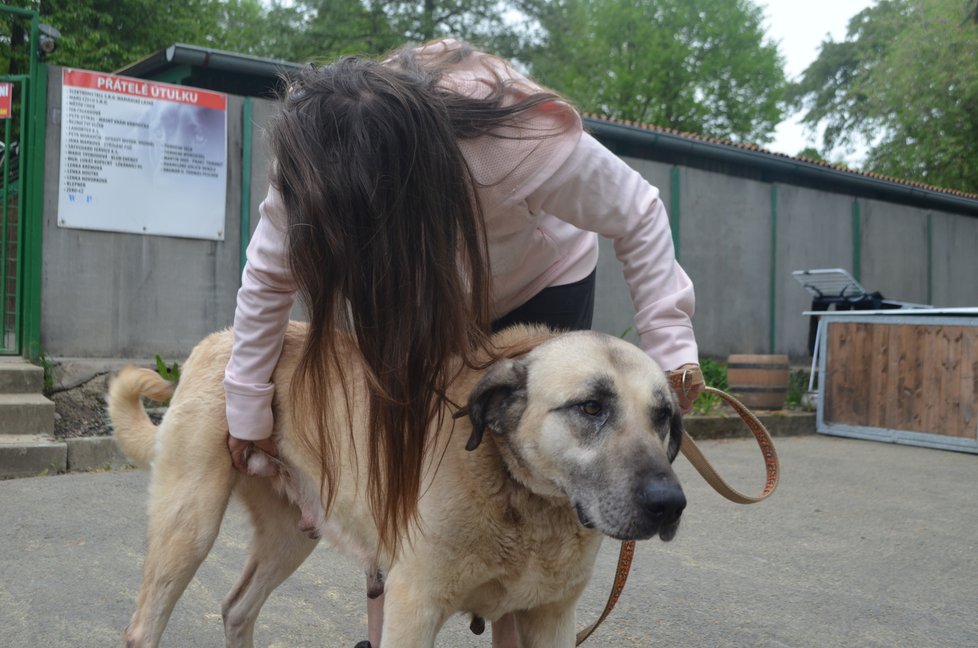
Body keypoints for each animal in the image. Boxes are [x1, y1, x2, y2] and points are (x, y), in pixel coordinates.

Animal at [108, 322, 688, 644]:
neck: (523, 502)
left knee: (236, 608)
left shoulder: (550, 619)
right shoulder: (412, 609)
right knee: (144, 626)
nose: (670, 504)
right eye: (591, 407)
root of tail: (221, 338)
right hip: (191, 525)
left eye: (663, 418)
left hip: (292, 535)